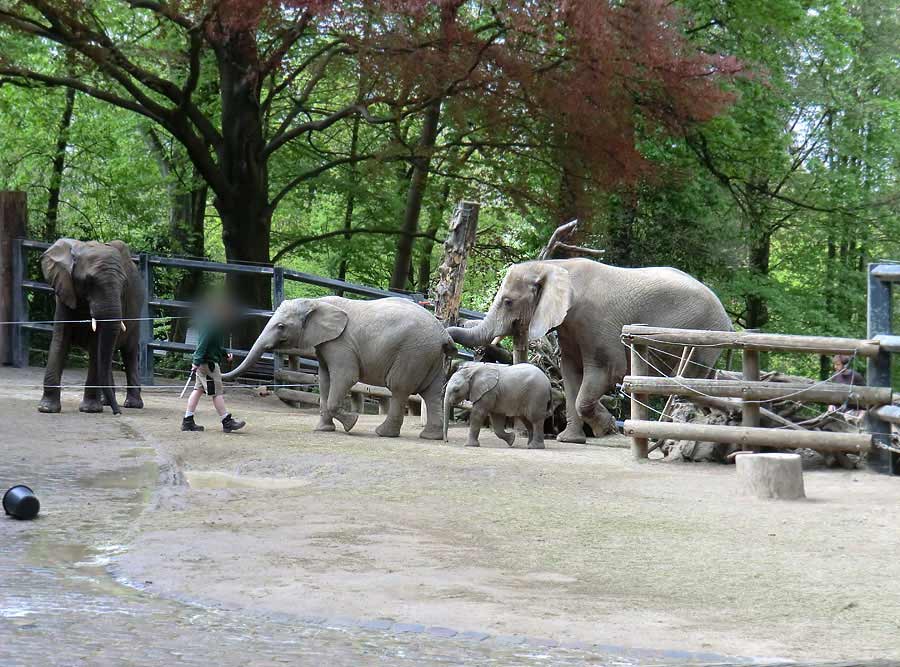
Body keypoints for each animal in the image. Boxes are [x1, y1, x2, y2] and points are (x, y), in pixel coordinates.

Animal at [38, 237, 146, 414]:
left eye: (124, 285)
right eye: (89, 281)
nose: (118, 413)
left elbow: (96, 346)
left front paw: (90, 409)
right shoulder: (65, 292)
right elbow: (60, 341)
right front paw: (46, 408)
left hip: (137, 312)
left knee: (128, 352)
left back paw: (132, 404)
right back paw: (106, 402)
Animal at [222, 298, 454, 444]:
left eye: (281, 326)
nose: (226, 359)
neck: (316, 302)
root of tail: (444, 334)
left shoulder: (340, 343)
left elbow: (345, 377)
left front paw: (352, 423)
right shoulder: (325, 344)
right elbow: (324, 380)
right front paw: (323, 430)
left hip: (412, 353)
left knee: (399, 388)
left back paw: (383, 433)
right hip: (429, 356)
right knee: (432, 393)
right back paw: (430, 437)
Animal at [446, 260, 736, 444]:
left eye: (507, 302)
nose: (450, 337)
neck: (552, 266)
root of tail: (727, 319)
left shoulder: (596, 323)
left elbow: (603, 373)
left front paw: (606, 430)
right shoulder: (570, 325)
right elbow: (571, 374)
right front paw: (571, 440)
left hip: (702, 338)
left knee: (686, 383)